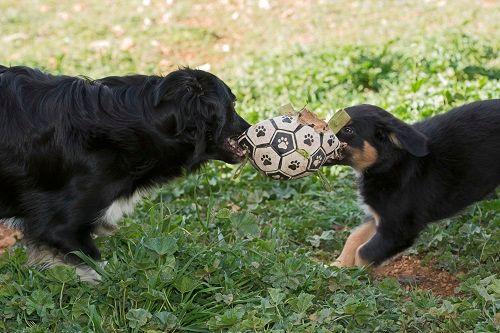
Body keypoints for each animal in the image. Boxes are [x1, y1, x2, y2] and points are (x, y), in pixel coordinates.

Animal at [324, 99, 500, 268]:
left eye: (348, 130)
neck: (390, 163)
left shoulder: (398, 230)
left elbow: (363, 253)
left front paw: (359, 274)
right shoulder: (380, 215)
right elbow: (353, 237)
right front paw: (338, 266)